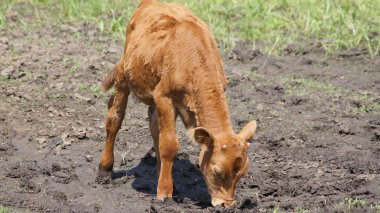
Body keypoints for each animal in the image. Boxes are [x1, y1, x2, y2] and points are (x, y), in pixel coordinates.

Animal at [97, 0, 258, 207]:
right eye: (217, 171)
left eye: (242, 173)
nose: (226, 205)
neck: (195, 61)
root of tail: (150, 3)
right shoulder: (164, 97)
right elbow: (169, 144)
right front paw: (165, 193)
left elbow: (161, 138)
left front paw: (165, 185)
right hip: (124, 74)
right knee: (114, 119)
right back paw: (104, 171)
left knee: (153, 127)